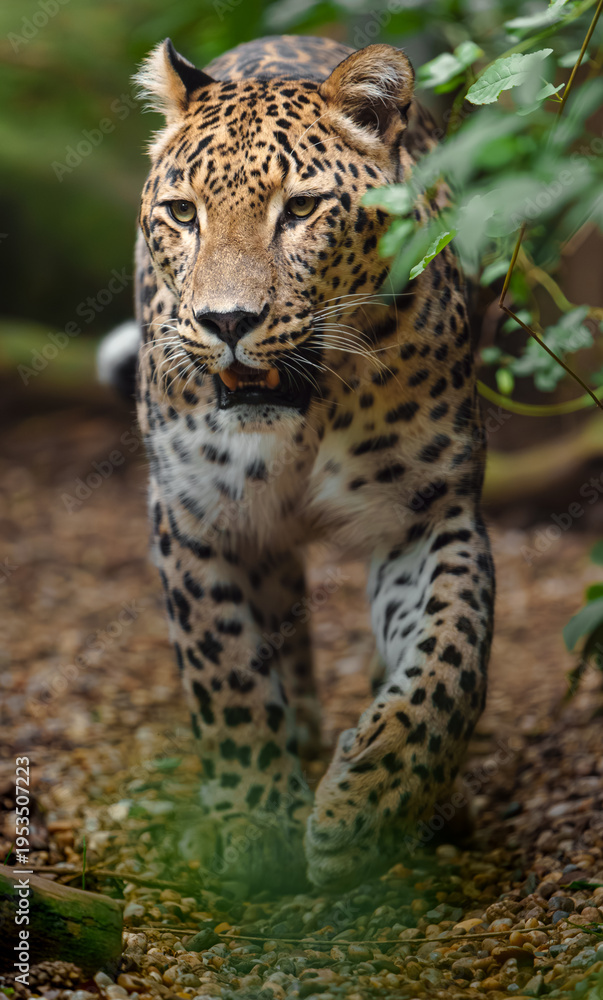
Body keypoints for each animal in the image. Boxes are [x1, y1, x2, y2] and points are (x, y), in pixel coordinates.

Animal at [118, 32, 495, 891]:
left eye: (299, 209)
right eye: (182, 213)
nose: (226, 322)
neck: (305, 419)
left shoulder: (426, 511)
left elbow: (451, 649)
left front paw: (376, 792)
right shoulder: (191, 516)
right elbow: (224, 669)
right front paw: (257, 820)